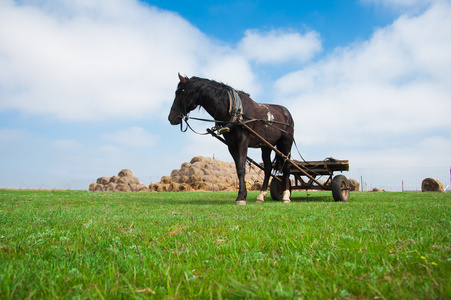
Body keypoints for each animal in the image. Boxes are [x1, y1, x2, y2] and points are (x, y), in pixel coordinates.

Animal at [168, 73, 294, 205]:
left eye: (179, 93)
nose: (171, 118)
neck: (234, 109)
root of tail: (287, 113)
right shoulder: (231, 145)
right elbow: (238, 169)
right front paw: (242, 195)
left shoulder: (243, 141)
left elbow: (242, 168)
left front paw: (241, 197)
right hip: (266, 146)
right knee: (268, 169)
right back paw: (261, 196)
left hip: (286, 143)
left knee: (286, 167)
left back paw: (286, 195)